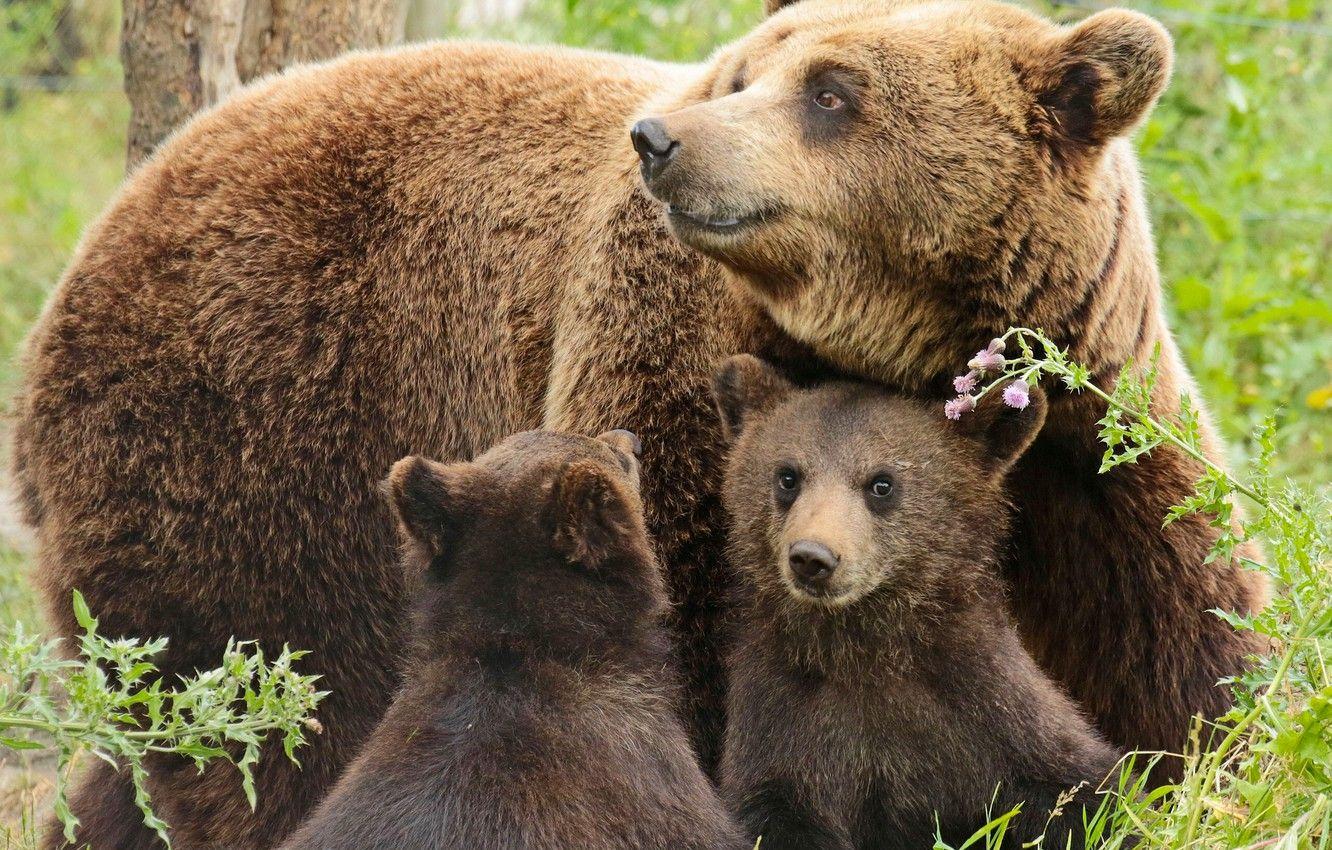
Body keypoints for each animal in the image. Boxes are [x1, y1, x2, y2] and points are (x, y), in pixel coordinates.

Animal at [712, 354, 1121, 850]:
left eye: (882, 483)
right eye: (787, 475)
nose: (812, 557)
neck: (864, 649)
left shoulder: (990, 708)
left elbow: (1084, 787)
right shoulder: (781, 721)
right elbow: (777, 811)